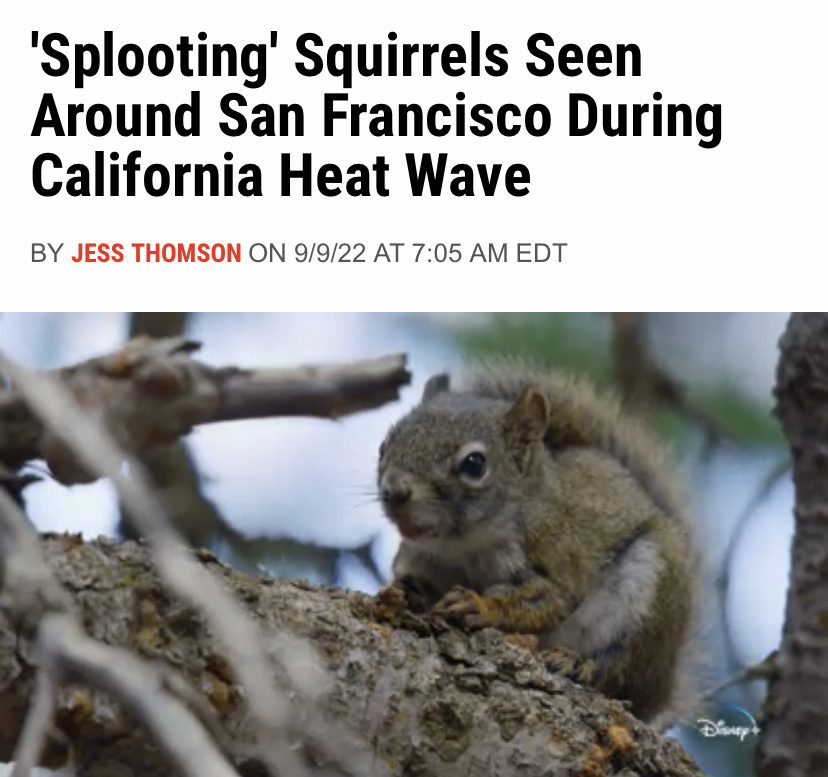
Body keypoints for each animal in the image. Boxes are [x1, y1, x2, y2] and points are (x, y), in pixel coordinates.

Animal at [375, 359, 701, 730]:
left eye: (474, 464)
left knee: (621, 675)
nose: (394, 491)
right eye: (384, 445)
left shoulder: (555, 558)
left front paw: (480, 606)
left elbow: (547, 601)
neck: (461, 547)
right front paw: (411, 588)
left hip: (650, 595)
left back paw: (579, 665)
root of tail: (665, 683)